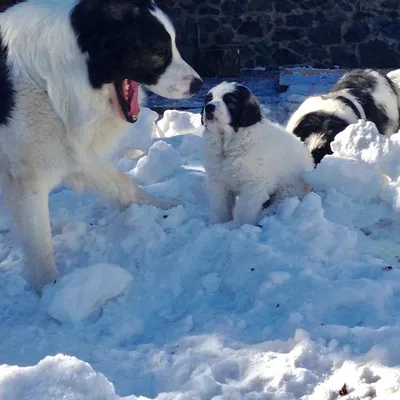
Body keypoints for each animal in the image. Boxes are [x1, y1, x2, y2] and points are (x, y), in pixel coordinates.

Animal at [0, 0, 203, 294]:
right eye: (158, 51)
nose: (198, 84)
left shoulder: (70, 150)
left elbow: (123, 183)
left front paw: (161, 205)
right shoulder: (27, 175)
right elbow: (39, 241)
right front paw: (50, 288)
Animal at [202, 81, 314, 228]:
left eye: (230, 100)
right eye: (209, 99)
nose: (208, 107)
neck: (227, 143)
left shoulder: (253, 185)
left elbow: (245, 211)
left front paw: (239, 228)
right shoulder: (218, 181)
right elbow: (220, 206)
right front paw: (219, 225)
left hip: (289, 189)